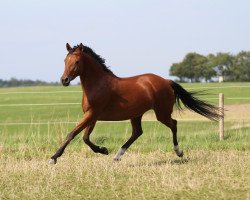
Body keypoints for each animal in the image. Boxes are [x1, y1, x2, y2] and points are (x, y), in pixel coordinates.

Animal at [48, 43, 221, 164]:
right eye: (65, 60)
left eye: (77, 61)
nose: (64, 80)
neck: (98, 84)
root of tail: (166, 81)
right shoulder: (92, 116)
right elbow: (85, 137)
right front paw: (104, 150)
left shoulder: (92, 114)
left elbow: (73, 134)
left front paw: (53, 158)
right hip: (136, 114)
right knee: (137, 132)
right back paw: (117, 156)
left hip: (161, 113)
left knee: (174, 124)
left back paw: (179, 152)